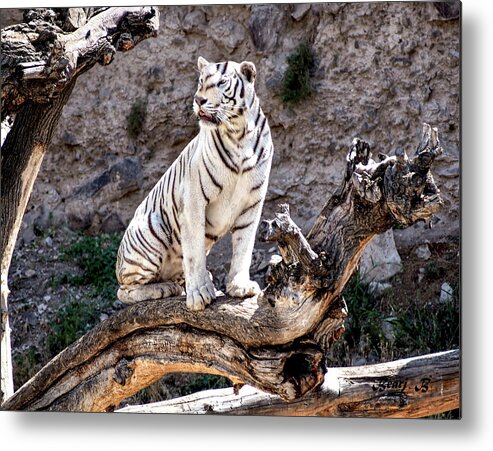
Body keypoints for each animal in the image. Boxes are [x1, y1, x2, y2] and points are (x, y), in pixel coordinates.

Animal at [117, 56, 274, 310]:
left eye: (221, 82)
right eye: (201, 81)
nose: (198, 99)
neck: (239, 134)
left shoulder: (253, 203)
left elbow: (244, 246)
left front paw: (240, 286)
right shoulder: (193, 201)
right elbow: (194, 253)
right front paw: (200, 293)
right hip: (151, 230)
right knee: (124, 291)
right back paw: (164, 288)